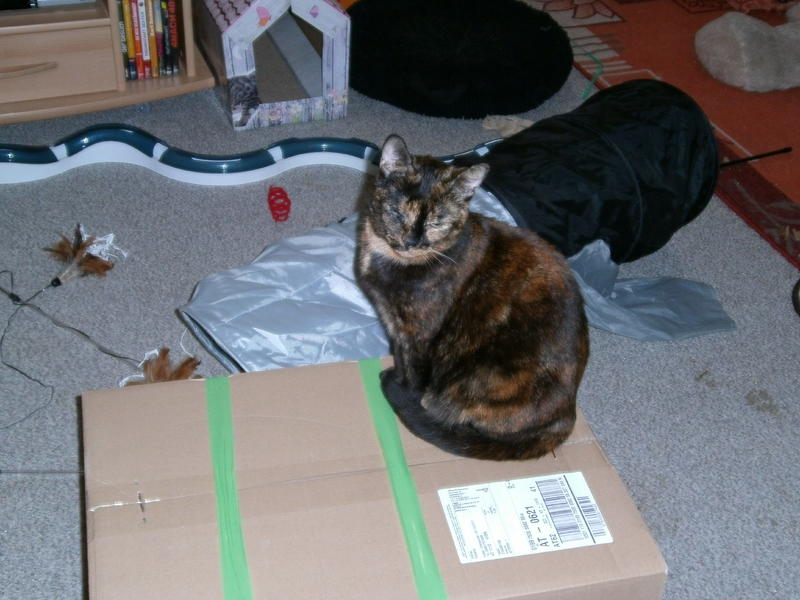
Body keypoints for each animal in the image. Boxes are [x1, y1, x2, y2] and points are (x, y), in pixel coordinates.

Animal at [355, 135, 589, 461]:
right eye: (399, 213)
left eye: (437, 223)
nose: (412, 242)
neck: (388, 260)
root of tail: (565, 417)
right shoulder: (395, 327)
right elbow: (401, 361)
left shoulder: (419, 335)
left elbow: (413, 374)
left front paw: (405, 390)